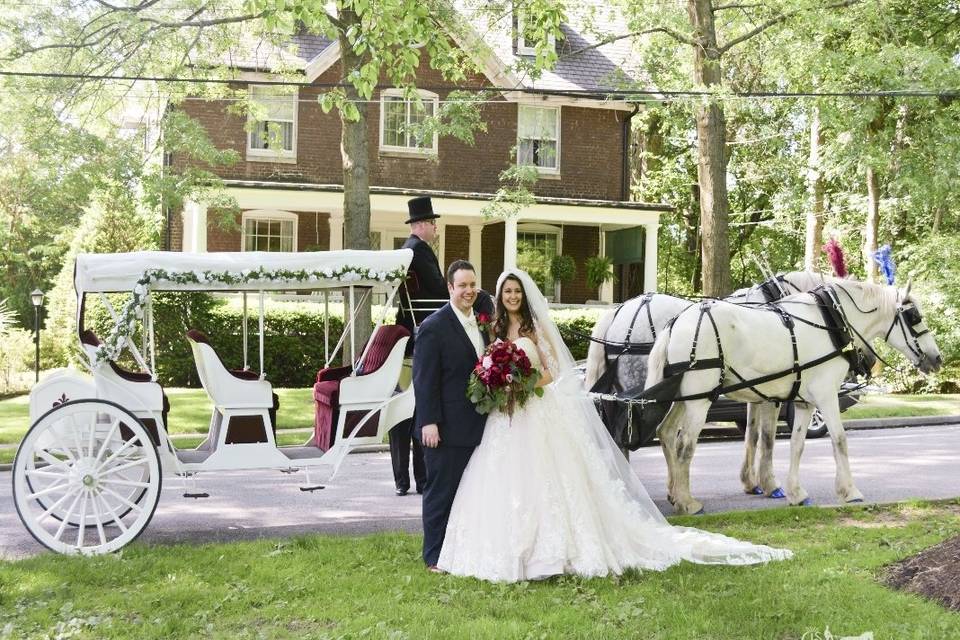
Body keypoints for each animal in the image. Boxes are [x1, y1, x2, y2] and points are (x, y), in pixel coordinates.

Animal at [644, 280, 944, 516]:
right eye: (914, 316)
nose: (937, 358)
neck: (832, 322)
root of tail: (675, 323)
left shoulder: (804, 402)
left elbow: (796, 445)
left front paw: (796, 493)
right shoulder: (826, 396)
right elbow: (839, 440)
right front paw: (849, 491)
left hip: (682, 396)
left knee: (666, 433)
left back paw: (674, 495)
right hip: (699, 399)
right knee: (685, 444)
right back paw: (687, 502)